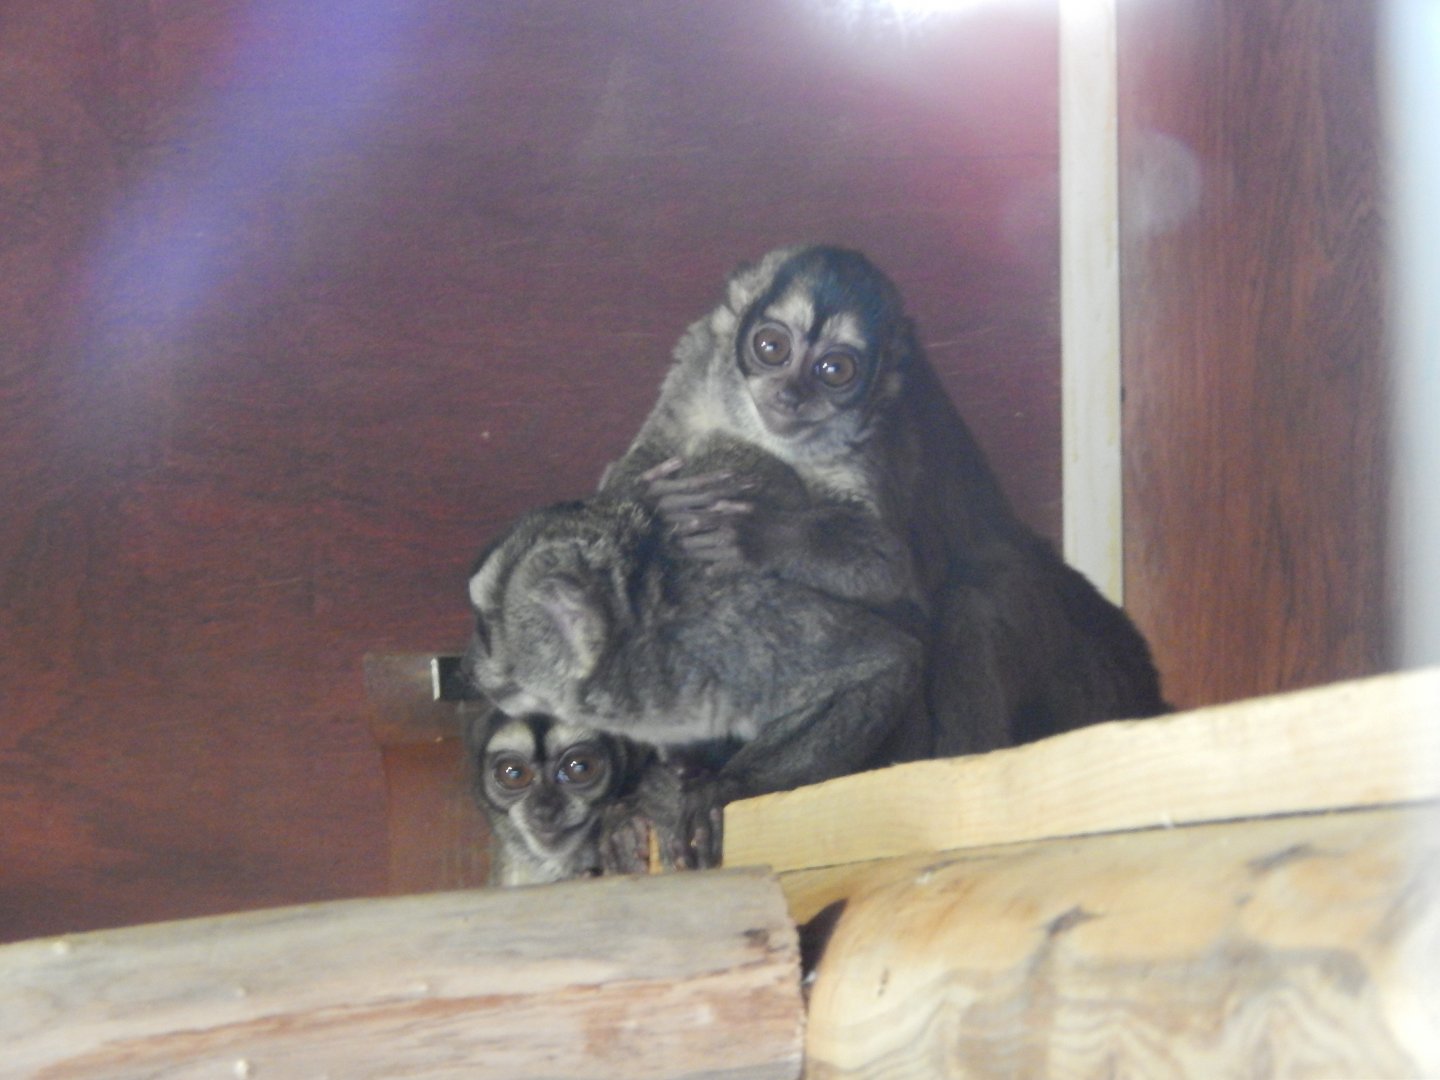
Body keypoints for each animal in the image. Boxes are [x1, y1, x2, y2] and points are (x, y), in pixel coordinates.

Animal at [598, 244, 1167, 759]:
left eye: (834, 370)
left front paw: (758, 534)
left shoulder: (881, 435)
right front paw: (655, 499)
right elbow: (633, 470)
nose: (791, 395)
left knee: (976, 599)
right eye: (771, 346)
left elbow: (886, 565)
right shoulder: (697, 365)